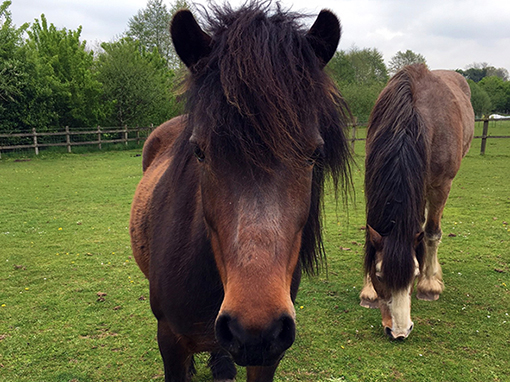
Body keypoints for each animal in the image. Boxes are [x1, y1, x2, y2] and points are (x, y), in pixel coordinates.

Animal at [358, 63, 474, 340]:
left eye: (414, 274)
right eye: (379, 274)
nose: (399, 332)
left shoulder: (441, 185)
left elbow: (431, 233)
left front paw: (429, 285)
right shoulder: (372, 179)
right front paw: (368, 292)